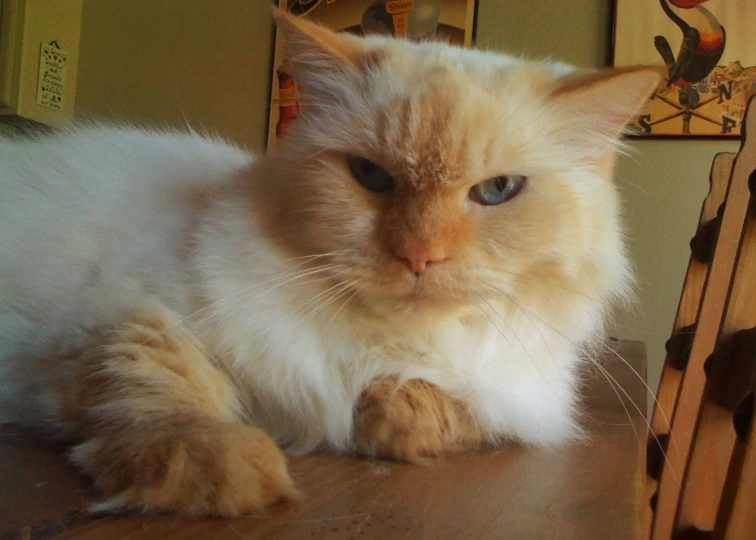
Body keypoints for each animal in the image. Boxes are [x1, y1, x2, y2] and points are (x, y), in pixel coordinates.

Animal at [0, 10, 660, 520]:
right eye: (370, 176)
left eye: (497, 191)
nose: (418, 255)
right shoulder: (114, 314)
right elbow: (166, 386)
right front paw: (231, 472)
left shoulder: (518, 401)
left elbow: (436, 407)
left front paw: (387, 414)